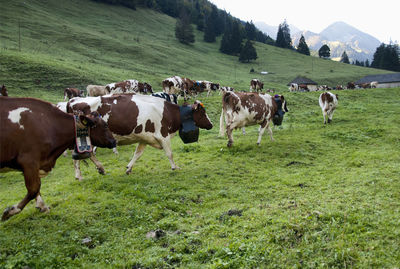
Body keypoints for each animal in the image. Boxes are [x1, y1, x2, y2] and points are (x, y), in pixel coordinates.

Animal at [67, 93, 214, 177]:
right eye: (202, 113)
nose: (211, 124)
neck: (169, 112)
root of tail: (73, 101)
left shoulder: (145, 138)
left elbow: (137, 154)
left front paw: (128, 168)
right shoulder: (163, 136)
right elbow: (169, 153)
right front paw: (175, 167)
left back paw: (95, 170)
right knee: (82, 156)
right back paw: (82, 174)